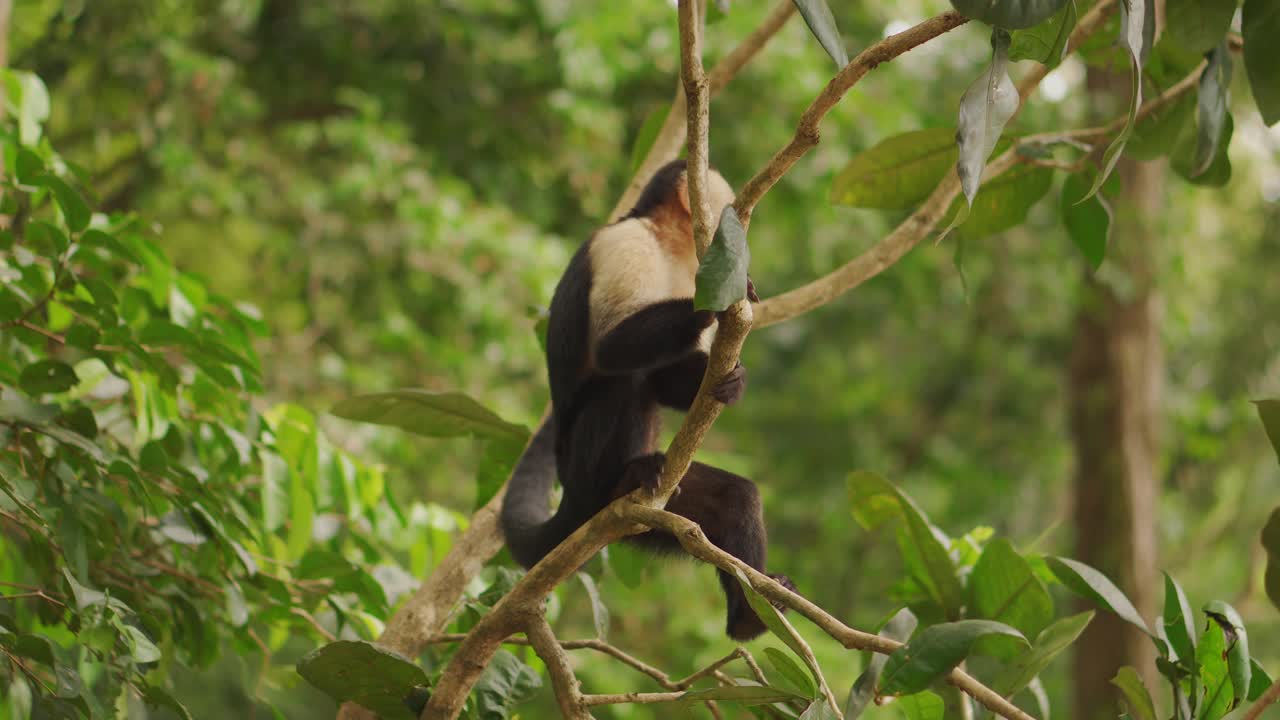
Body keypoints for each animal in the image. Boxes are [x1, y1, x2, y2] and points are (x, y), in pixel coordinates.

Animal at [501, 160, 793, 641]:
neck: (668, 241)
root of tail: (574, 503)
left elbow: (665, 381)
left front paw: (733, 381)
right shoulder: (625, 245)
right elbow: (611, 350)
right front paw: (709, 306)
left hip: (658, 510)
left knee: (735, 497)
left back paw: (749, 618)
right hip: (581, 476)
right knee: (619, 383)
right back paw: (625, 477)